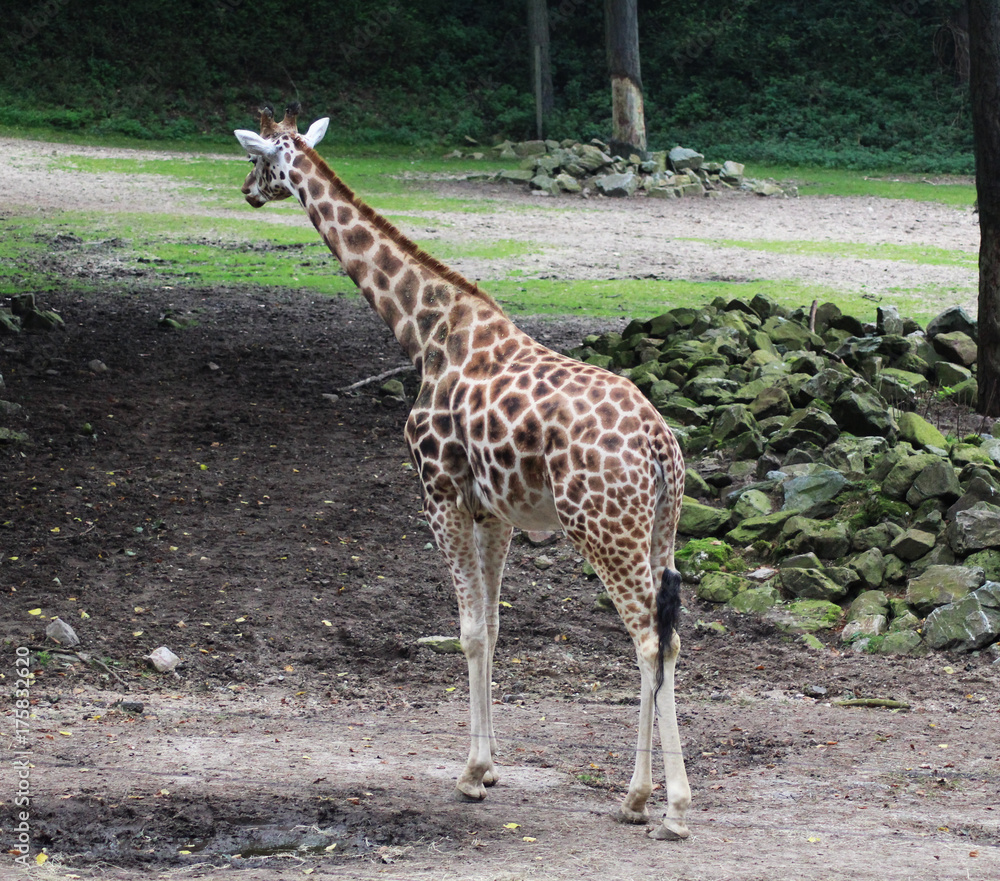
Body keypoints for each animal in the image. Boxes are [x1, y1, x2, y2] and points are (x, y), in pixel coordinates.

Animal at [234, 105, 692, 840]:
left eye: (256, 159)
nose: (248, 192)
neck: (425, 334)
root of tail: (660, 446)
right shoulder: (494, 510)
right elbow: (495, 628)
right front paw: (493, 765)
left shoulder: (439, 493)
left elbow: (469, 630)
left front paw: (471, 773)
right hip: (660, 532)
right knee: (670, 638)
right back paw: (643, 797)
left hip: (604, 530)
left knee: (648, 639)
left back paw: (660, 803)